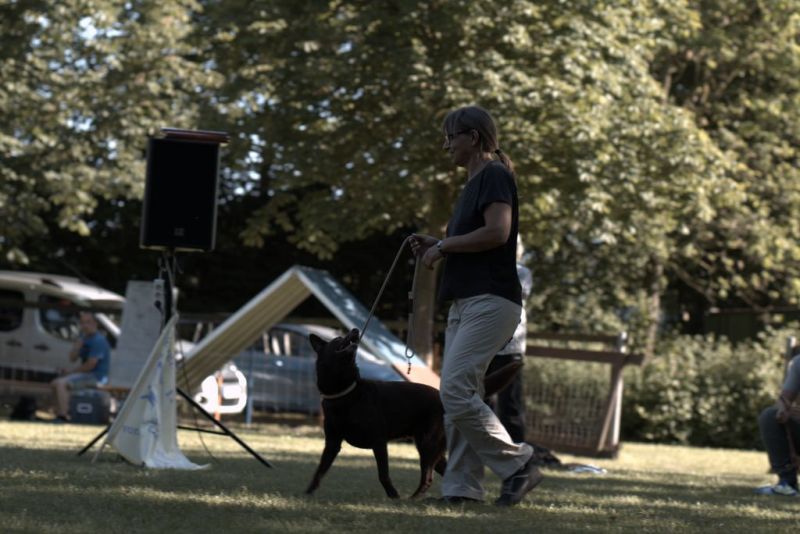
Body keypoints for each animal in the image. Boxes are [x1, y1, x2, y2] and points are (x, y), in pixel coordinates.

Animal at [305, 328, 447, 498]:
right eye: (338, 339)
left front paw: (394, 496)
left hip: (427, 444)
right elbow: (319, 471)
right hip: (432, 448)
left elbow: (383, 474)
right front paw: (307, 493)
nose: (356, 330)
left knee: (427, 478)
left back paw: (411, 499)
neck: (346, 393)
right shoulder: (332, 443)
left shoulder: (378, 442)